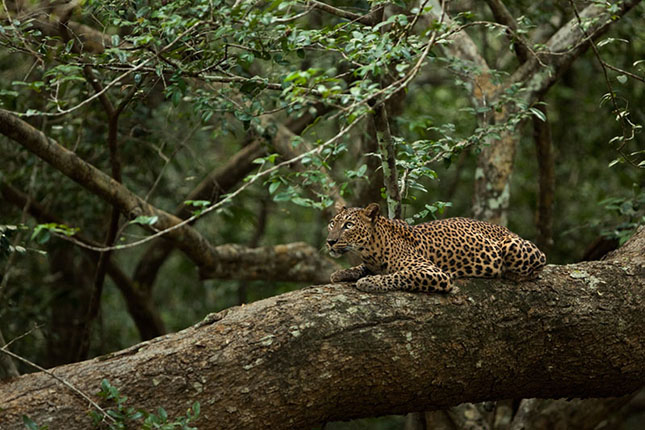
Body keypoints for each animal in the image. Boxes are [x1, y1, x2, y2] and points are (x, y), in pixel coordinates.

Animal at [328, 202, 544, 292]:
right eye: (332, 223)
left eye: (348, 225)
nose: (330, 241)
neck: (371, 251)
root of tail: (507, 229)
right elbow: (361, 268)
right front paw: (340, 274)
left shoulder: (433, 272)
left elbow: (400, 275)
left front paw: (369, 282)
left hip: (512, 247)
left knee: (540, 263)